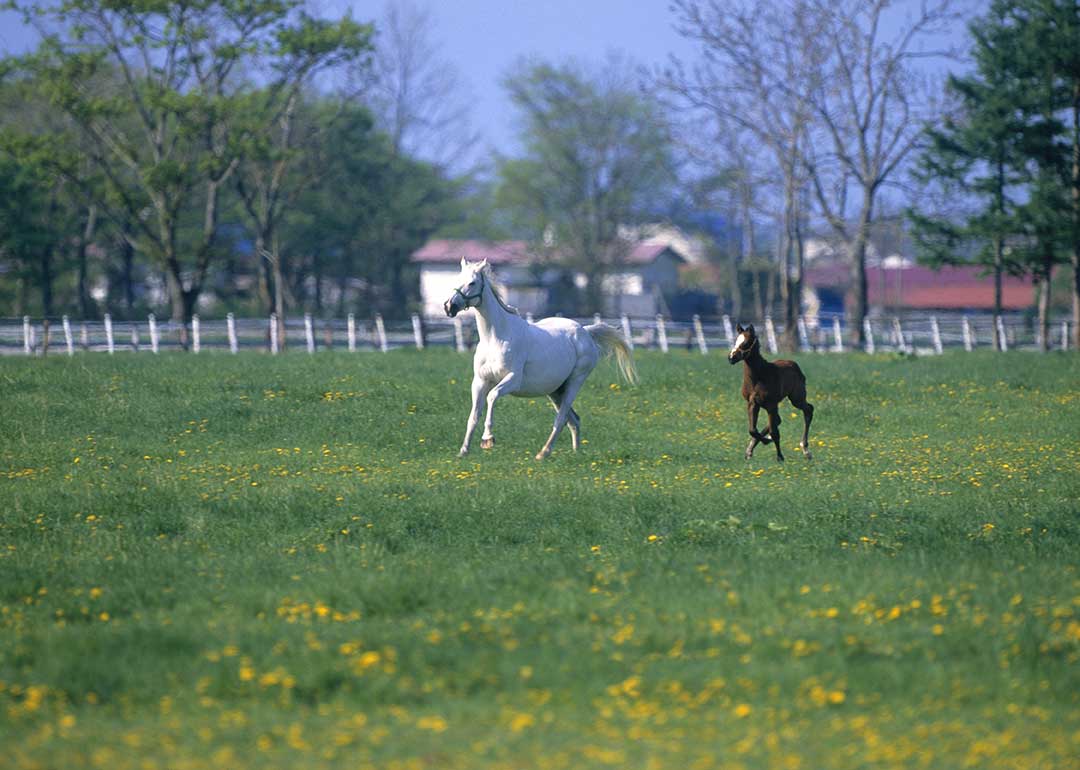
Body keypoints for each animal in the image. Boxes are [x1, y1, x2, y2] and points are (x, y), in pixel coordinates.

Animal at [442, 258, 635, 462]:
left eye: (472, 283)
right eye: (458, 279)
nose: (449, 307)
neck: (496, 338)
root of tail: (585, 332)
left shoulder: (512, 379)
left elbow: (492, 396)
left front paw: (487, 439)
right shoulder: (479, 381)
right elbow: (473, 416)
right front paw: (463, 451)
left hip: (574, 383)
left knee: (561, 419)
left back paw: (544, 453)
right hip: (555, 391)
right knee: (573, 420)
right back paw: (575, 453)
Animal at [730, 321, 812, 460]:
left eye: (746, 342)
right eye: (736, 340)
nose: (731, 357)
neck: (759, 376)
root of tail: (794, 364)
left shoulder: (771, 404)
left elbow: (774, 433)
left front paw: (780, 457)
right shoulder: (752, 403)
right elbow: (752, 430)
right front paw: (757, 446)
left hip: (796, 398)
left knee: (808, 410)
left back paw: (805, 449)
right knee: (778, 420)